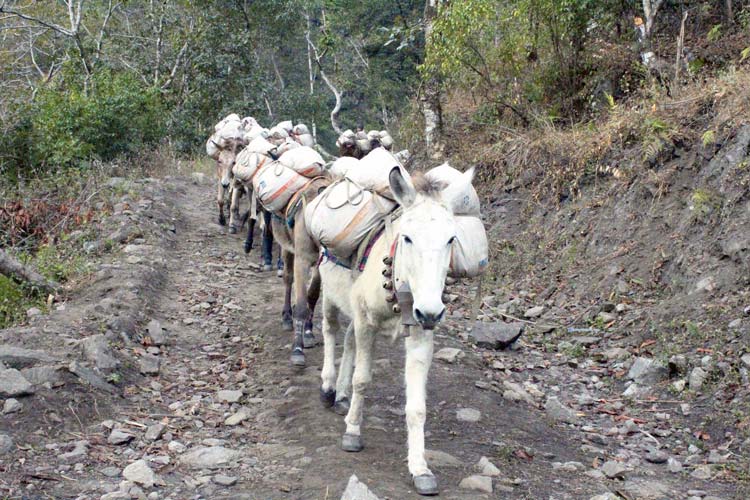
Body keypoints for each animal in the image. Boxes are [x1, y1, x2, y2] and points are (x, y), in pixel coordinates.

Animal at [317, 165, 475, 496]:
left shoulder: (421, 335)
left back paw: (341, 395)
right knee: (330, 330)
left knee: (348, 342)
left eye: (451, 239)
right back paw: (328, 387)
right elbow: (363, 380)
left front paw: (420, 469)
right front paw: (353, 433)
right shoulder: (367, 322)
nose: (431, 312)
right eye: (408, 238)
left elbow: (417, 407)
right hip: (330, 293)